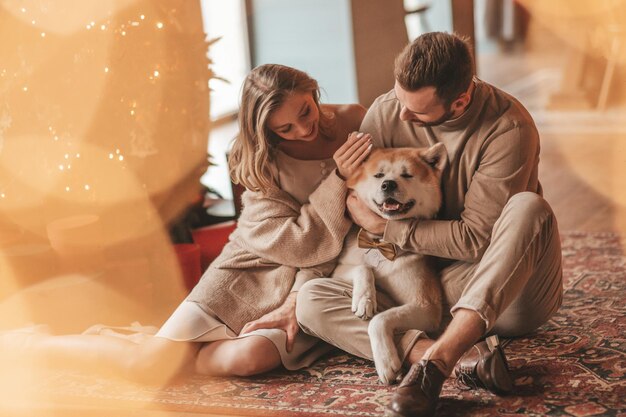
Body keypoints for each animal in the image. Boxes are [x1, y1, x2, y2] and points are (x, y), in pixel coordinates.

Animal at [330, 144, 446, 384]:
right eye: (379, 175)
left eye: (407, 175)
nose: (388, 184)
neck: (381, 245)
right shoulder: (338, 271)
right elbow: (363, 267)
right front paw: (364, 298)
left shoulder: (427, 307)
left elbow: (379, 319)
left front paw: (386, 361)